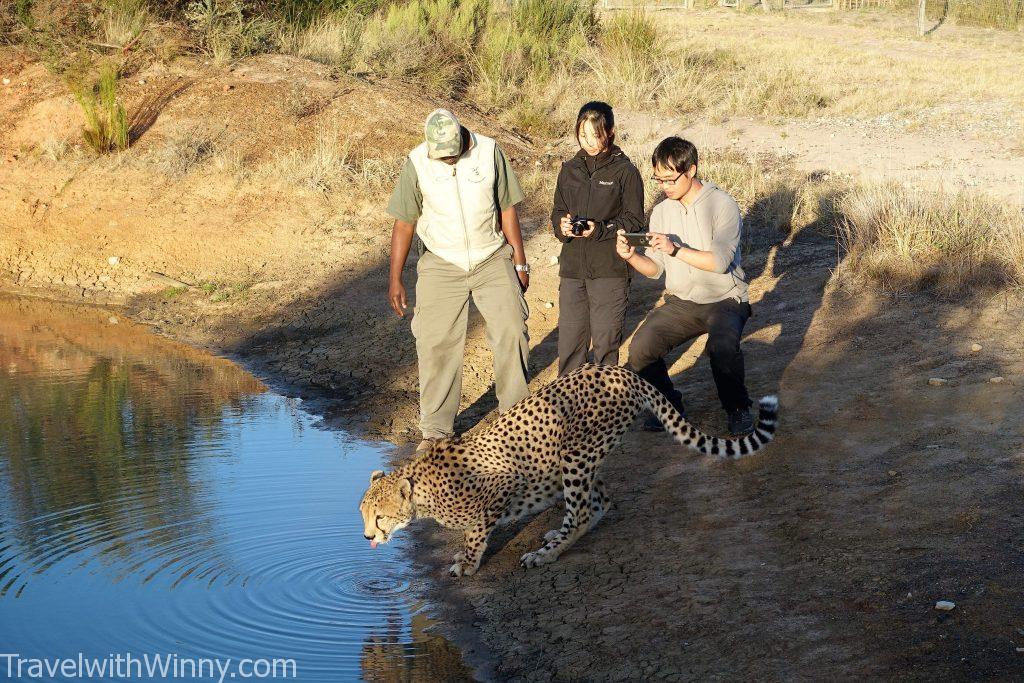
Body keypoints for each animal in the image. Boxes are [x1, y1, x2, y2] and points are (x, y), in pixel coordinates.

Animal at [360, 362, 774, 577]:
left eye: (379, 516)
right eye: (364, 514)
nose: (366, 537)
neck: (422, 494)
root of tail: (621, 371)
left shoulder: (502, 483)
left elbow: (475, 534)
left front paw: (467, 563)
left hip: (574, 455)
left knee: (582, 511)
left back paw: (547, 553)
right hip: (580, 455)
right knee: (599, 500)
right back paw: (555, 535)